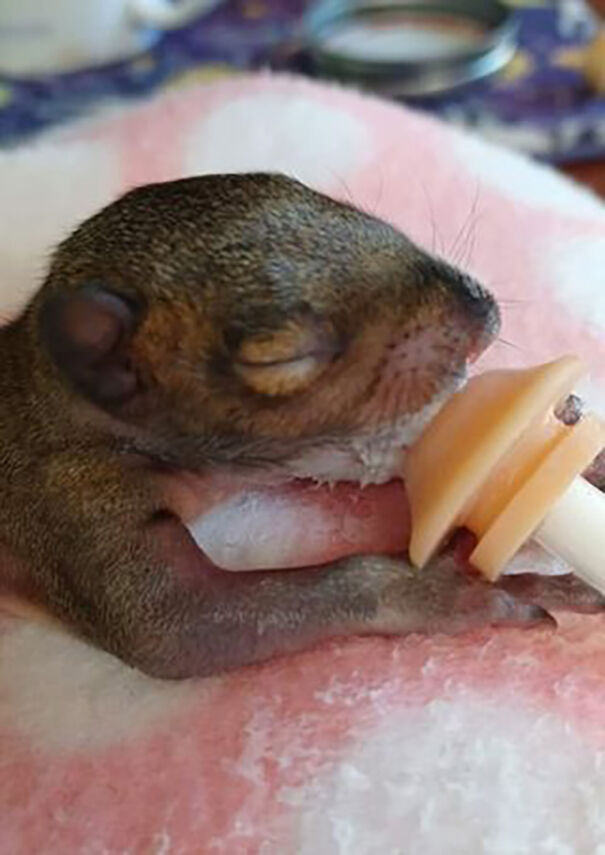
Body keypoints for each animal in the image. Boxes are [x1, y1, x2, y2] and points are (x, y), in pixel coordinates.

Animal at [0, 173, 603, 679]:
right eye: (279, 358)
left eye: (354, 212)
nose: (480, 312)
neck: (46, 386)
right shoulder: (72, 503)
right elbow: (176, 626)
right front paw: (444, 586)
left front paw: (582, 448)